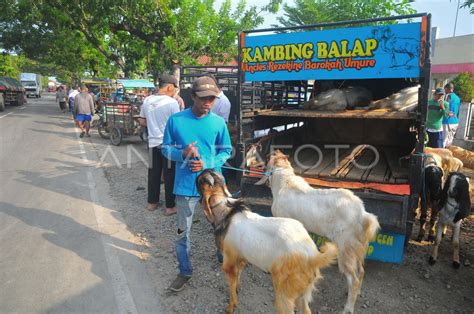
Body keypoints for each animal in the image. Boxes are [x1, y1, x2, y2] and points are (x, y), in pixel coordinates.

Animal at [196, 169, 336, 314]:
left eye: (200, 181)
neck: (227, 214)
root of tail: (312, 256)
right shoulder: (241, 257)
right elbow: (238, 275)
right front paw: (238, 288)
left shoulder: (229, 261)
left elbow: (231, 285)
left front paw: (231, 307)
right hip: (303, 291)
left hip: (284, 291)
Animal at [256, 151, 382, 312]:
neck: (285, 182)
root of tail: (362, 213)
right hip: (358, 248)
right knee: (360, 272)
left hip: (345, 248)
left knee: (353, 278)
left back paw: (348, 308)